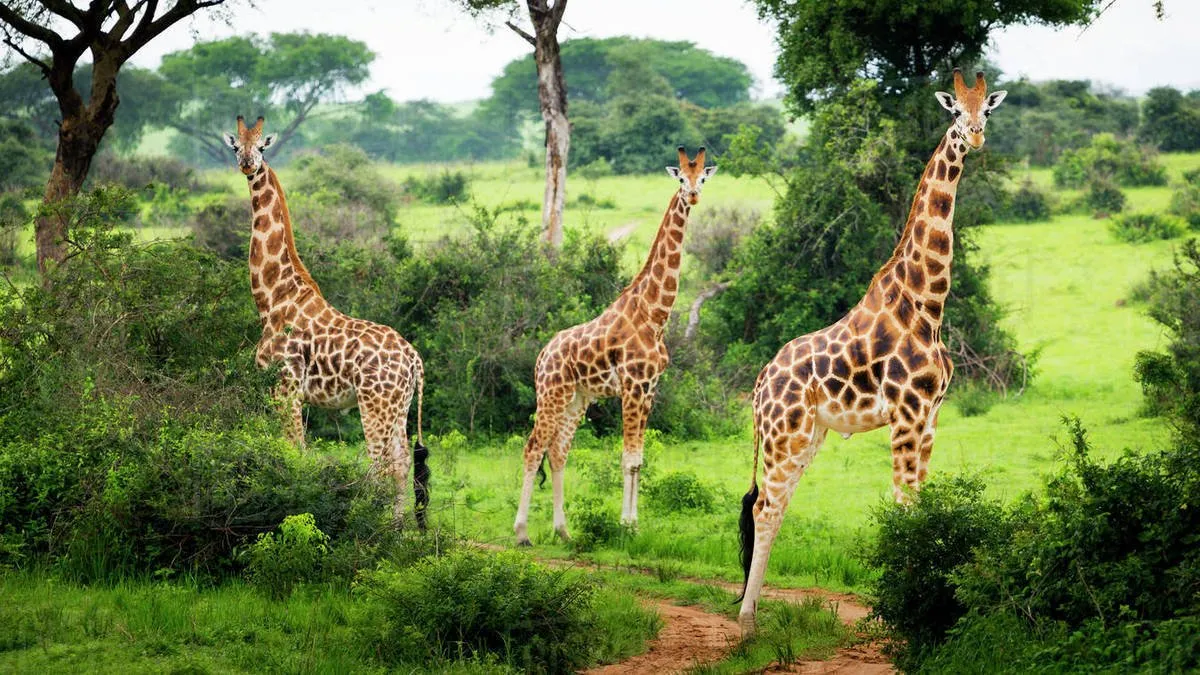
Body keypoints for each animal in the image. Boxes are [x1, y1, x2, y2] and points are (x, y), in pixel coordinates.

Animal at [225, 115, 432, 526]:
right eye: (236, 146)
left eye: (262, 146)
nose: (247, 165)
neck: (273, 299)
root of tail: (414, 359)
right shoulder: (285, 394)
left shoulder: (285, 389)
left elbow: (295, 452)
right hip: (399, 407)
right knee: (401, 462)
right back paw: (398, 529)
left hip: (375, 404)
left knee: (383, 463)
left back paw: (380, 528)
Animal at [511, 144, 715, 542]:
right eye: (681, 179)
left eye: (702, 177)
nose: (694, 196)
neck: (654, 315)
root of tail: (542, 356)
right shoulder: (633, 387)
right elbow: (628, 458)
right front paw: (626, 526)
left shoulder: (650, 389)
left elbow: (638, 459)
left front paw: (633, 523)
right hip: (551, 394)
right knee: (533, 448)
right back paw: (522, 532)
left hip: (576, 400)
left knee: (558, 452)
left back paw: (564, 531)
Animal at [734, 69, 1008, 629]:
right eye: (954, 111)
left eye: (986, 110)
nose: (973, 136)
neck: (926, 305)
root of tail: (758, 386)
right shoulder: (905, 414)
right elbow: (902, 505)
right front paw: (903, 608)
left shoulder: (930, 417)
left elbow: (920, 505)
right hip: (784, 435)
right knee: (764, 507)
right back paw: (748, 618)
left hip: (809, 435)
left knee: (777, 505)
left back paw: (759, 609)